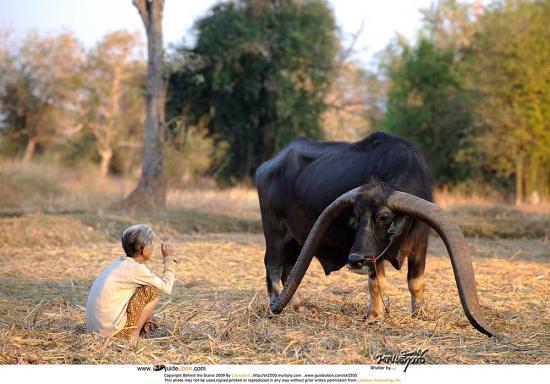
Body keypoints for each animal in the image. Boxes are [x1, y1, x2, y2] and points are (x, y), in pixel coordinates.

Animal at [256, 131, 498, 336]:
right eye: (356, 215)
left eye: (384, 217)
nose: (355, 260)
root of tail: (266, 167)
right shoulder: (373, 255)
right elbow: (376, 283)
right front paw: (374, 315)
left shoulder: (421, 243)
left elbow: (416, 282)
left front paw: (419, 313)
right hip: (275, 232)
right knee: (273, 265)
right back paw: (276, 304)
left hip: (297, 240)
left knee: (289, 266)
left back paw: (297, 306)